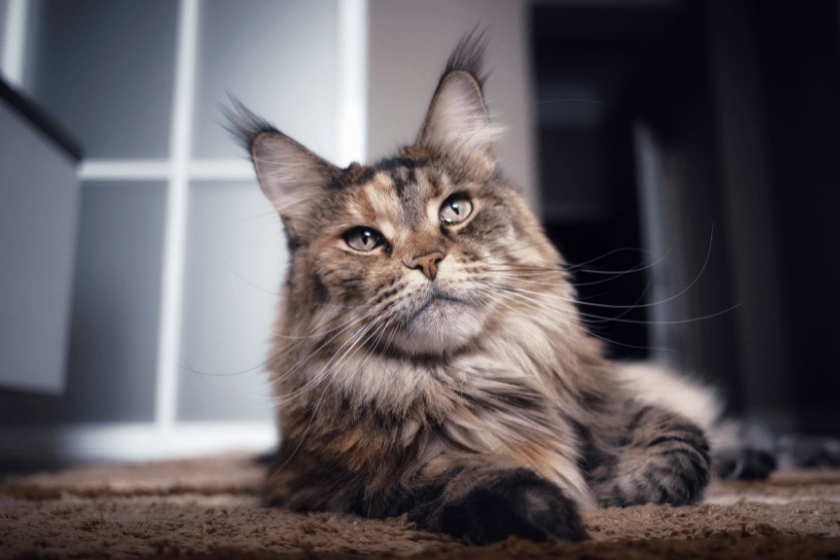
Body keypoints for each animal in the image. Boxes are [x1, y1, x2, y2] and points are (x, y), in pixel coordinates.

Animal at [226, 34, 720, 544]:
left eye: (456, 209)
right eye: (363, 239)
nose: (426, 261)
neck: (463, 375)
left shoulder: (610, 402)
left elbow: (683, 444)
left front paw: (613, 483)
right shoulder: (327, 481)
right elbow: (458, 474)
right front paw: (551, 514)